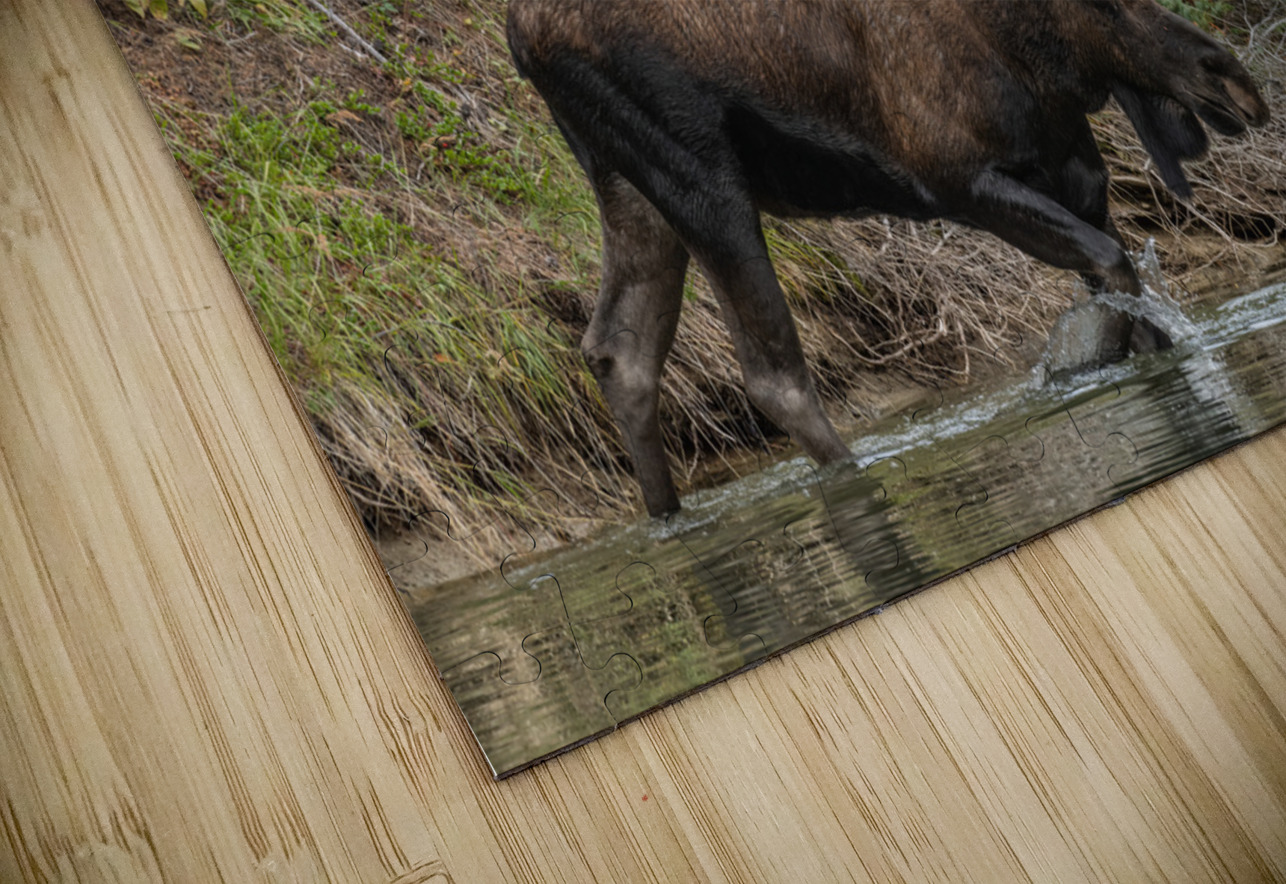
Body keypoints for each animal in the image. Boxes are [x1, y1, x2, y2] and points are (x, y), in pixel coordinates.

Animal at [506, 0, 1270, 517]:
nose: (1232, 80)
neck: (1038, 54)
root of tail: (518, 36)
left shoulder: (1075, 179)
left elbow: (1129, 299)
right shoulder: (957, 180)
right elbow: (1116, 269)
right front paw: (1077, 366)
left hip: (627, 181)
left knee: (620, 352)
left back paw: (669, 517)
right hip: (701, 174)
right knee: (771, 375)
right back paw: (854, 473)